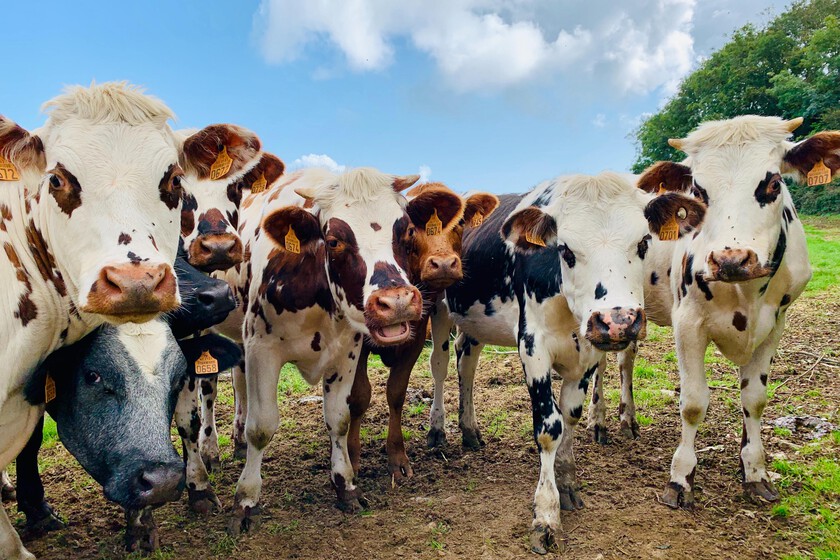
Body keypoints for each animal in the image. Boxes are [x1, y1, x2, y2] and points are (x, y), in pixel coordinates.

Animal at [215, 166, 471, 535]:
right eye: (334, 241)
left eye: (407, 231)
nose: (396, 302)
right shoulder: (261, 348)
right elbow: (261, 427)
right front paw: (245, 501)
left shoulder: (347, 352)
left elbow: (339, 419)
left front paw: (346, 485)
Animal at [347, 183, 499, 481]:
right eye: (411, 228)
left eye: (460, 223)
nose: (444, 264)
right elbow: (359, 396)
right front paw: (352, 459)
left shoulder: (417, 336)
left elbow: (396, 392)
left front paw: (397, 458)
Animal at [426, 172, 706, 553]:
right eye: (566, 250)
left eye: (643, 243)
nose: (617, 320)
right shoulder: (532, 346)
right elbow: (549, 427)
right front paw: (546, 514)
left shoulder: (588, 354)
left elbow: (570, 415)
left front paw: (567, 481)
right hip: (438, 307)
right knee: (439, 364)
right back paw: (438, 429)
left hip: (474, 323)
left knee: (466, 362)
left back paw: (469, 429)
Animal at [585, 116, 824, 510]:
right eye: (698, 190)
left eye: (773, 183)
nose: (731, 259)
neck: (745, 291)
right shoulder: (688, 323)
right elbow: (694, 403)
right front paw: (681, 479)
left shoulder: (775, 325)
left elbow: (754, 400)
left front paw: (754, 471)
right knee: (600, 364)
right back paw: (598, 421)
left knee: (625, 361)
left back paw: (628, 419)